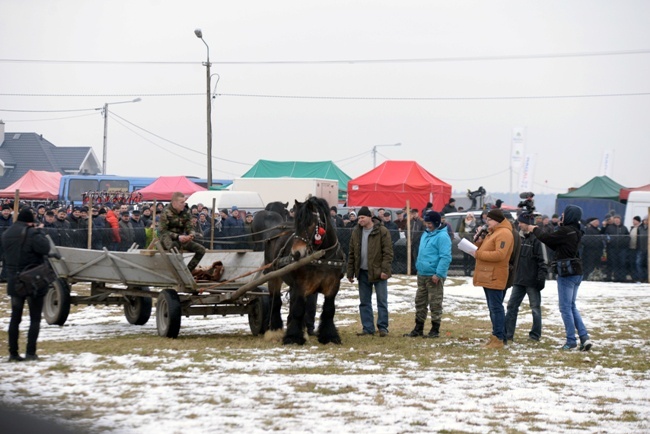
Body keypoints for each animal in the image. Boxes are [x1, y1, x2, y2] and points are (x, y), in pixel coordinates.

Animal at [264, 198, 344, 346]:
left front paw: (329, 336)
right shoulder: (301, 285)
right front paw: (293, 337)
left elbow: (329, 310)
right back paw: (274, 330)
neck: (322, 257)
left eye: (310, 223)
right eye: (297, 224)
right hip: (273, 275)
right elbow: (299, 309)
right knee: (275, 301)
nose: (296, 253)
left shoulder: (333, 285)